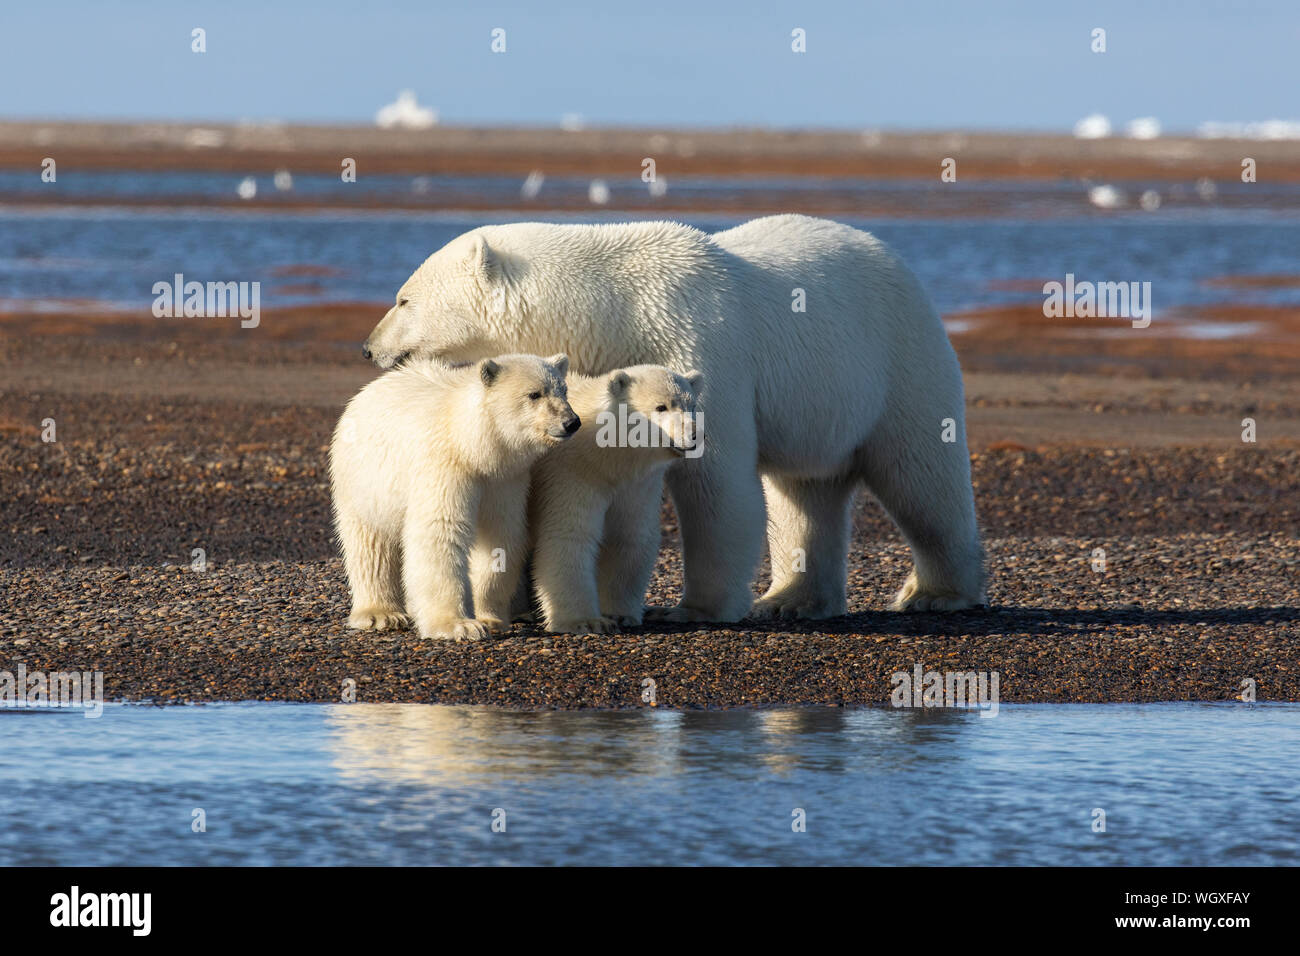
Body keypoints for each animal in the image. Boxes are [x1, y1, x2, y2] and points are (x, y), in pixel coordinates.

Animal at [330, 353, 579, 642]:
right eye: (534, 394)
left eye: (564, 390)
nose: (571, 422)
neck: (469, 442)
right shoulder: (445, 467)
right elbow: (441, 531)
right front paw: (458, 625)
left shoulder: (504, 480)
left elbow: (499, 537)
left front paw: (490, 618)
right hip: (363, 481)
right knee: (370, 544)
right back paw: (381, 614)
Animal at [522, 361, 702, 632]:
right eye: (661, 406)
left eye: (692, 406)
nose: (695, 434)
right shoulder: (572, 474)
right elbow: (570, 536)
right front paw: (586, 622)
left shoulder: (636, 485)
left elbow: (629, 536)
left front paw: (619, 614)